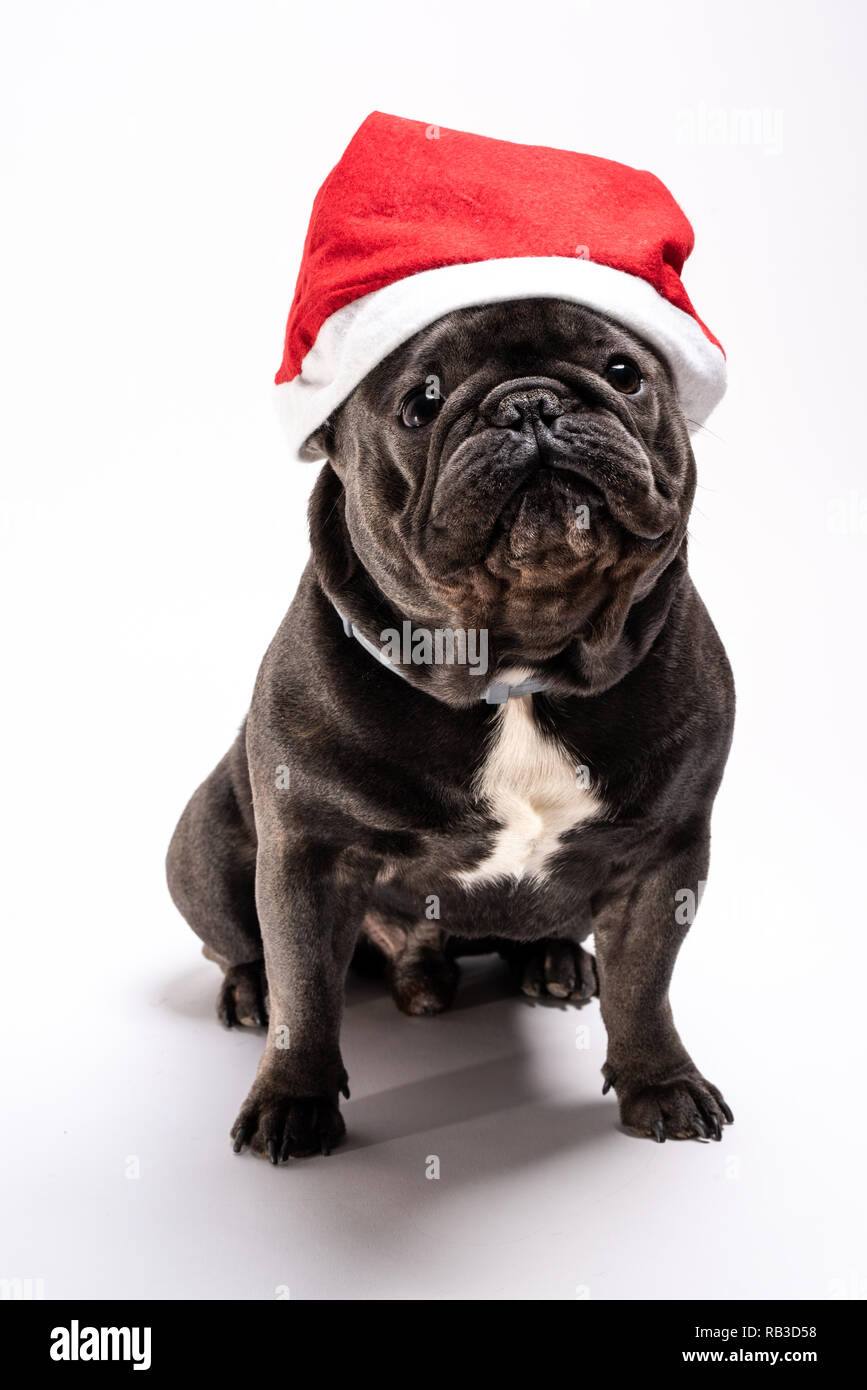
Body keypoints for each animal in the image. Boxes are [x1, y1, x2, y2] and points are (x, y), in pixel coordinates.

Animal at [166, 298, 733, 1156]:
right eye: (419, 405)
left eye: (623, 373)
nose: (530, 403)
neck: (521, 667)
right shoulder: (307, 856)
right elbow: (305, 989)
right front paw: (291, 1101)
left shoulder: (660, 856)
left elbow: (643, 985)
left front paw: (659, 1084)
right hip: (203, 844)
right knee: (237, 945)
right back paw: (249, 992)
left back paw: (555, 963)